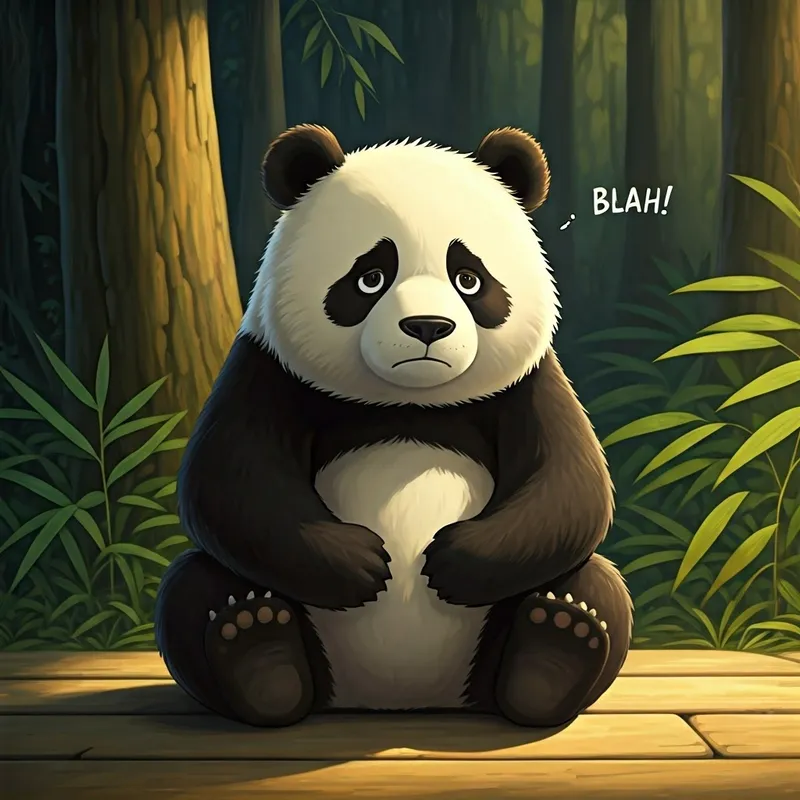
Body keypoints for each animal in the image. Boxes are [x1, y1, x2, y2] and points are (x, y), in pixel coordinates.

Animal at [155, 124, 633, 729]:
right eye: (371, 278)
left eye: (469, 278)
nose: (428, 326)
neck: (405, 402)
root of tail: (398, 694)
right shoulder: (268, 368)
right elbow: (229, 484)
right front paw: (364, 563)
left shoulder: (528, 383)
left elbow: (570, 486)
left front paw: (448, 560)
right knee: (190, 588)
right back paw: (258, 654)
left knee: (595, 583)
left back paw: (555, 650)